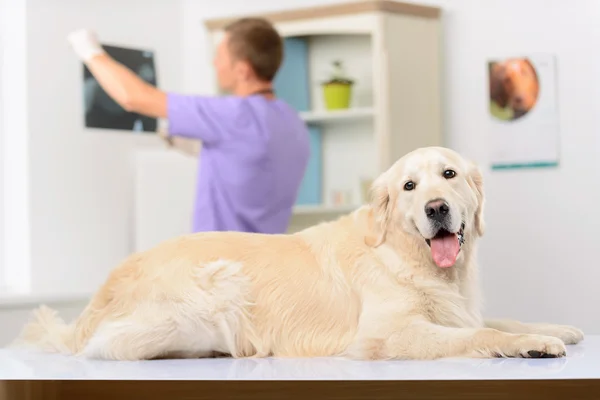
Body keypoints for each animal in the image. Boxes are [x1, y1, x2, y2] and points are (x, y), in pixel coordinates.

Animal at [12, 147, 580, 360]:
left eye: (449, 175)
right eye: (409, 186)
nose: (436, 208)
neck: (407, 256)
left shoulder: (459, 306)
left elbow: (497, 317)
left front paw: (557, 328)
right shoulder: (386, 335)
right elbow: (479, 333)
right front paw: (530, 344)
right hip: (217, 292)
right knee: (108, 348)